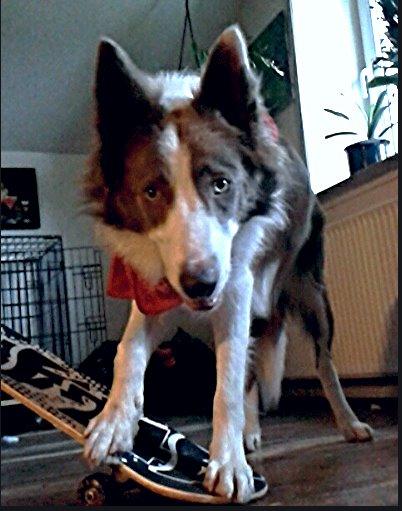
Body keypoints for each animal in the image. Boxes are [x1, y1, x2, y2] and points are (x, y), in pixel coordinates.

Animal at [84, 25, 374, 504]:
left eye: (221, 184)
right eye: (151, 192)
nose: (200, 285)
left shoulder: (235, 289)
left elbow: (229, 385)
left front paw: (229, 463)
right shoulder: (155, 289)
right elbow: (129, 351)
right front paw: (114, 422)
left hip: (311, 295)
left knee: (322, 365)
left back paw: (348, 422)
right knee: (253, 371)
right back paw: (251, 432)